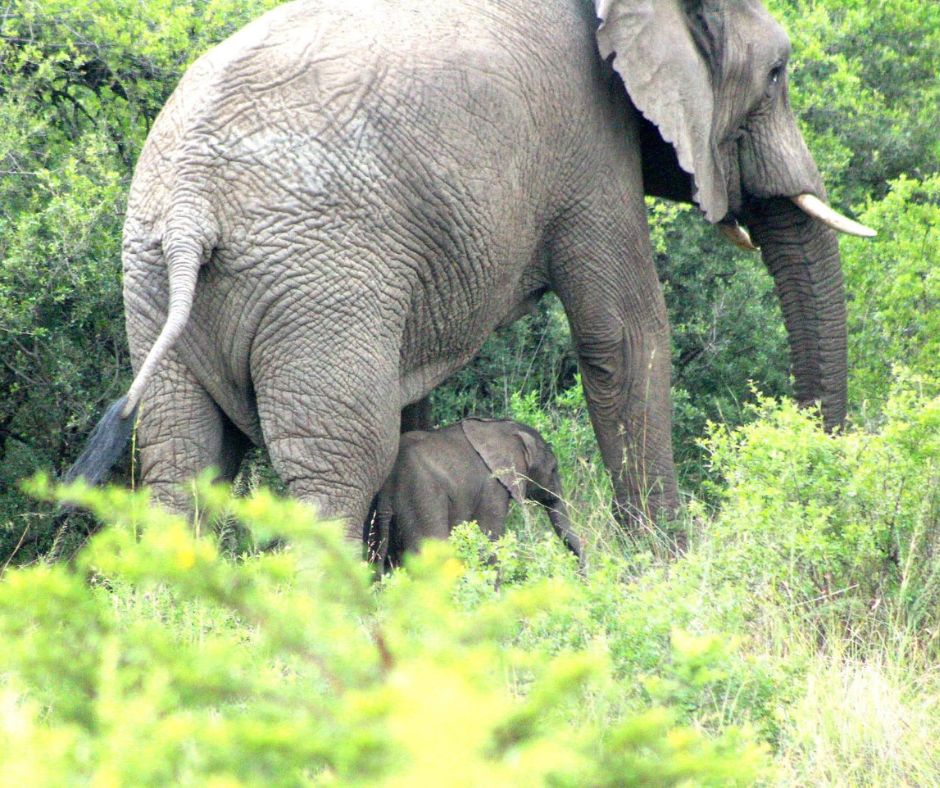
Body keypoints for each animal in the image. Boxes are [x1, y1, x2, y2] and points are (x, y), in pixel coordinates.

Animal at [65, 0, 875, 540]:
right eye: (778, 73)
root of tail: (190, 211)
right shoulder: (587, 139)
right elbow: (624, 338)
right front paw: (663, 572)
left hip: (157, 282)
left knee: (184, 464)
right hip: (321, 288)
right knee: (335, 468)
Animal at [370, 419, 584, 570]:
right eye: (554, 469)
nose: (582, 578)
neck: (505, 428)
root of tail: (387, 486)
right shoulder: (493, 486)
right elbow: (489, 536)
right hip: (421, 494)